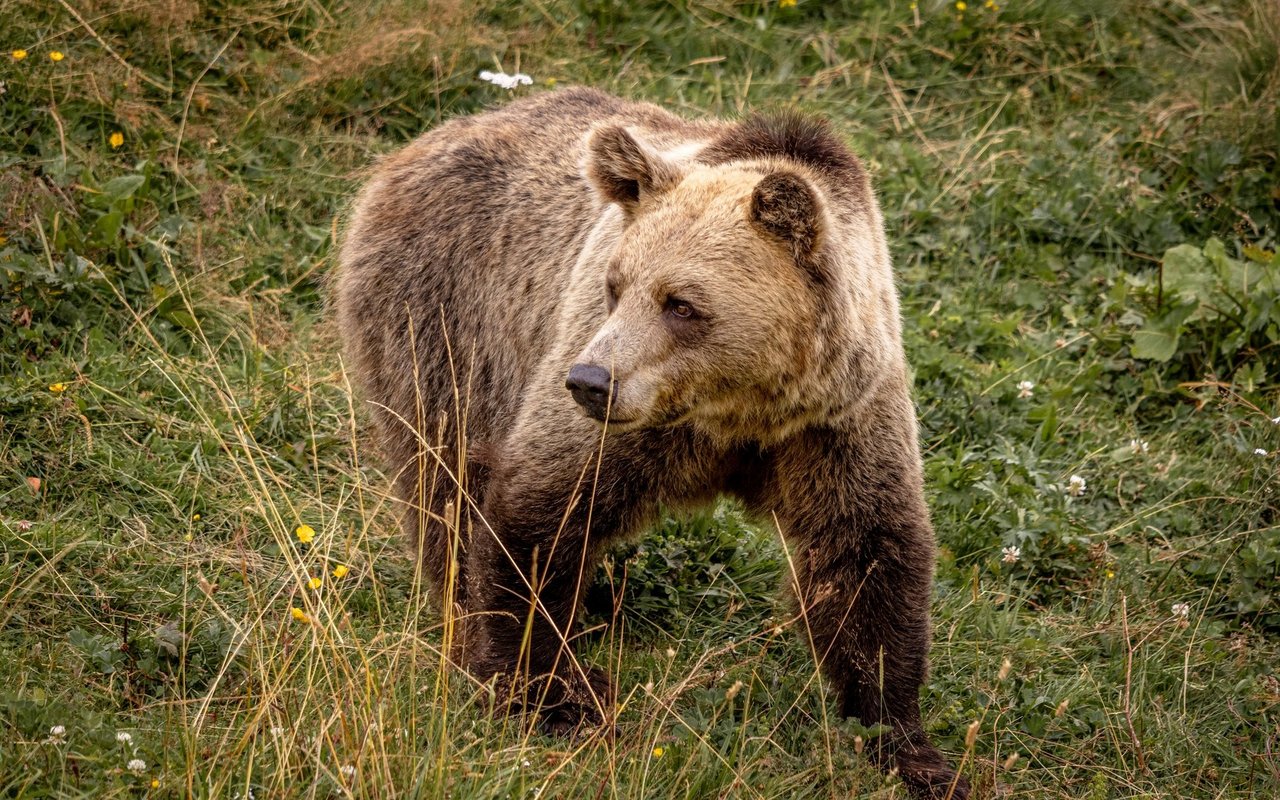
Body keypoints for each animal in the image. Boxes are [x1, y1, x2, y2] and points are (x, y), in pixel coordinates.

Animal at [335, 87, 962, 798]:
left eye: (681, 303)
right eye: (615, 285)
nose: (589, 380)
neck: (737, 410)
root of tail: (422, 142)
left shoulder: (836, 421)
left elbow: (865, 556)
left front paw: (908, 746)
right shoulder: (621, 420)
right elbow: (539, 514)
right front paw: (554, 696)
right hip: (445, 325)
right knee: (445, 481)